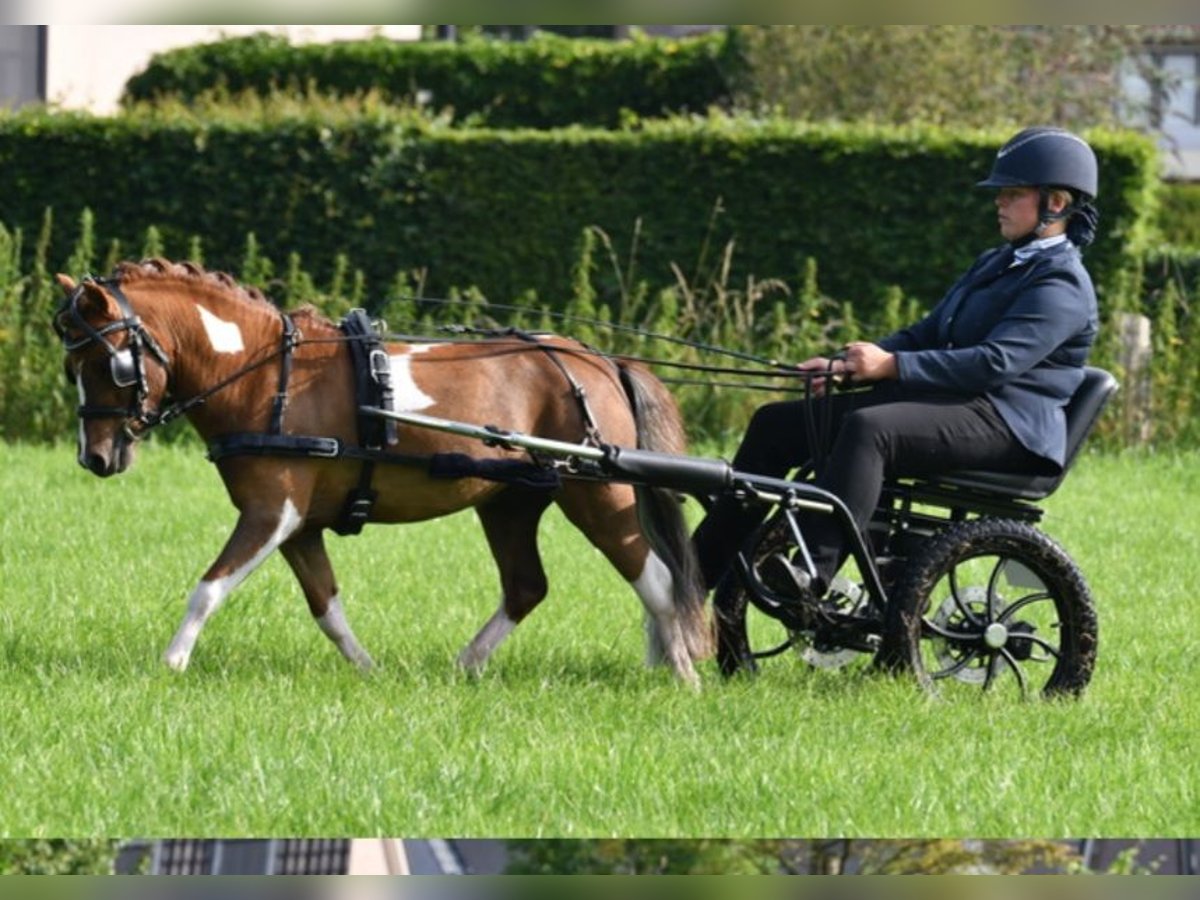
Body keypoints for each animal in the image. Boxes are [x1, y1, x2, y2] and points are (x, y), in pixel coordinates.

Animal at [54, 260, 710, 691]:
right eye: (71, 366)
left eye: (109, 363)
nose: (96, 458)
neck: (265, 375)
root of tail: (595, 359)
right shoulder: (298, 527)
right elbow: (326, 605)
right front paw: (369, 670)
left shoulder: (271, 513)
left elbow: (208, 588)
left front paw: (171, 664)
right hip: (510, 503)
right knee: (528, 586)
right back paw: (468, 665)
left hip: (599, 495)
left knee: (656, 580)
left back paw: (681, 671)